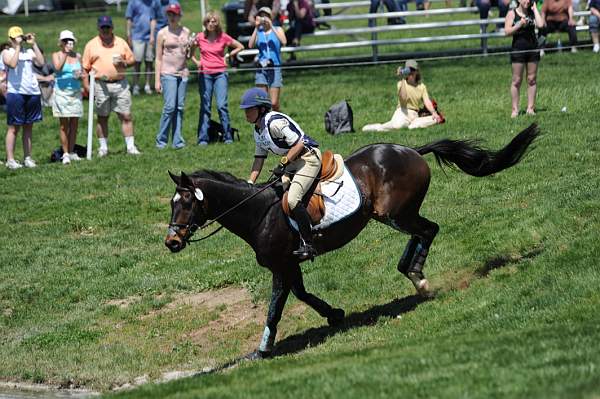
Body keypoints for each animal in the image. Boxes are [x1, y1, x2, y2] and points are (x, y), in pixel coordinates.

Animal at [163, 123, 540, 358]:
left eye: (186, 203)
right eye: (171, 203)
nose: (171, 242)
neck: (258, 212)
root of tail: (411, 150)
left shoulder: (281, 266)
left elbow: (275, 307)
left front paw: (263, 350)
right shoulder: (289, 265)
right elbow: (302, 295)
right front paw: (334, 314)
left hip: (396, 213)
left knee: (428, 230)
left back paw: (417, 276)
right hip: (395, 215)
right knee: (423, 232)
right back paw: (410, 271)